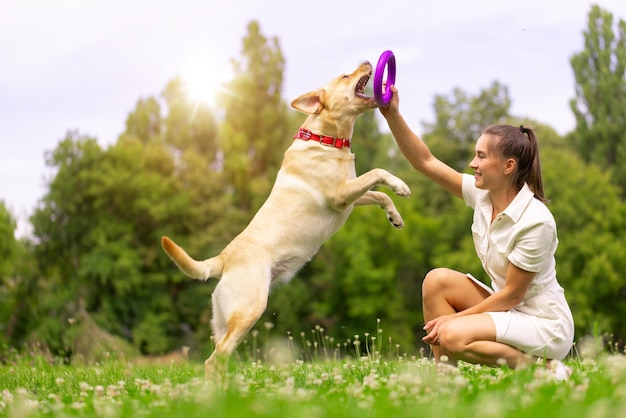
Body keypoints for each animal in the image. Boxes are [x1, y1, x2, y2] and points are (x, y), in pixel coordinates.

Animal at [160, 59, 410, 378]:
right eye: (345, 76)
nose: (368, 61)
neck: (327, 139)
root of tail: (223, 258)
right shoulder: (340, 195)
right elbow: (378, 172)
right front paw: (400, 185)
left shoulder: (350, 199)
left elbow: (379, 195)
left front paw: (395, 217)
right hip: (249, 309)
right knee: (214, 359)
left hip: (224, 320)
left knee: (215, 357)